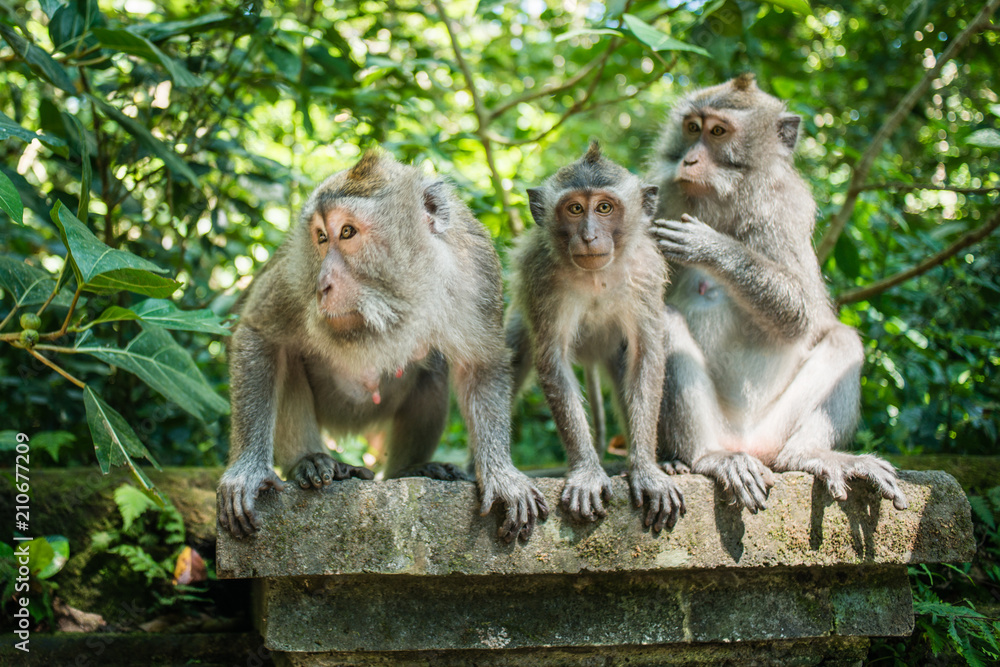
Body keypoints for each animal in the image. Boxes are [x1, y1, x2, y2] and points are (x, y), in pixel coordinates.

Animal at [217, 150, 549, 543]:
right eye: (320, 237)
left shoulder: (476, 268)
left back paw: (410, 468)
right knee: (287, 358)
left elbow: (482, 365)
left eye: (347, 232)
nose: (322, 284)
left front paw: (500, 475)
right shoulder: (295, 276)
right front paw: (248, 471)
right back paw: (311, 461)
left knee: (434, 367)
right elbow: (259, 333)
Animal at [507, 142, 686, 532]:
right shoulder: (540, 277)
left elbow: (645, 356)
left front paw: (647, 470)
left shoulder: (646, 273)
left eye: (604, 207)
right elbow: (552, 359)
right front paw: (587, 472)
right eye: (575, 208)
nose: (589, 236)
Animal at [647, 73, 908, 513]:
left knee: (842, 339)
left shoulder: (783, 211)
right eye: (692, 128)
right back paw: (705, 457)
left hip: (776, 428)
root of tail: (746, 442)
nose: (690, 161)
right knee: (663, 322)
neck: (722, 205)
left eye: (718, 132)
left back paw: (807, 454)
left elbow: (801, 313)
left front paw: (710, 246)